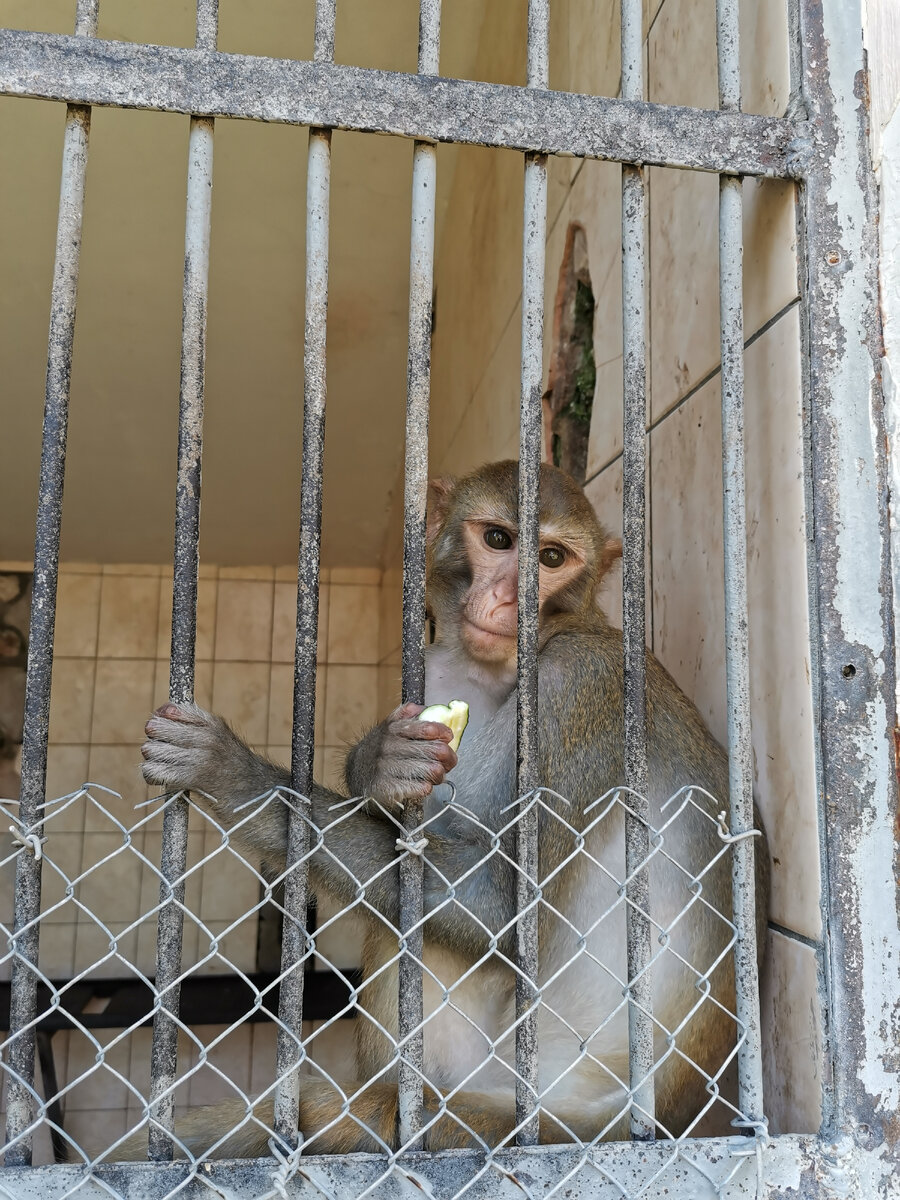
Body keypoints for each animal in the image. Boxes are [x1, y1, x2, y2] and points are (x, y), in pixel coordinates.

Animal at [139, 458, 768, 1152]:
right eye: (498, 540)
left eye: (551, 557)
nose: (509, 599)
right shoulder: (439, 667)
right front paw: (380, 762)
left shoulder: (581, 679)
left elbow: (499, 906)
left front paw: (231, 773)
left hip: (520, 1111)